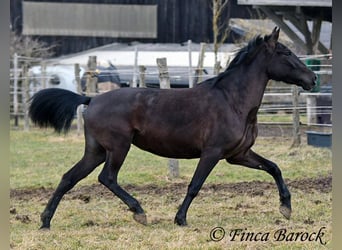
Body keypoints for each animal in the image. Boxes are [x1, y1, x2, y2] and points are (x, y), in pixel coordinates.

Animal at [28, 27, 316, 229]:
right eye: (286, 53)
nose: (312, 78)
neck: (232, 100)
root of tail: (91, 98)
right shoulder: (212, 152)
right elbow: (195, 185)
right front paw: (180, 219)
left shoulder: (238, 155)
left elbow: (274, 167)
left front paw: (286, 208)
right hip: (118, 148)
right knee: (106, 178)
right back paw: (139, 212)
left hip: (96, 151)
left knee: (69, 177)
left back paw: (45, 221)